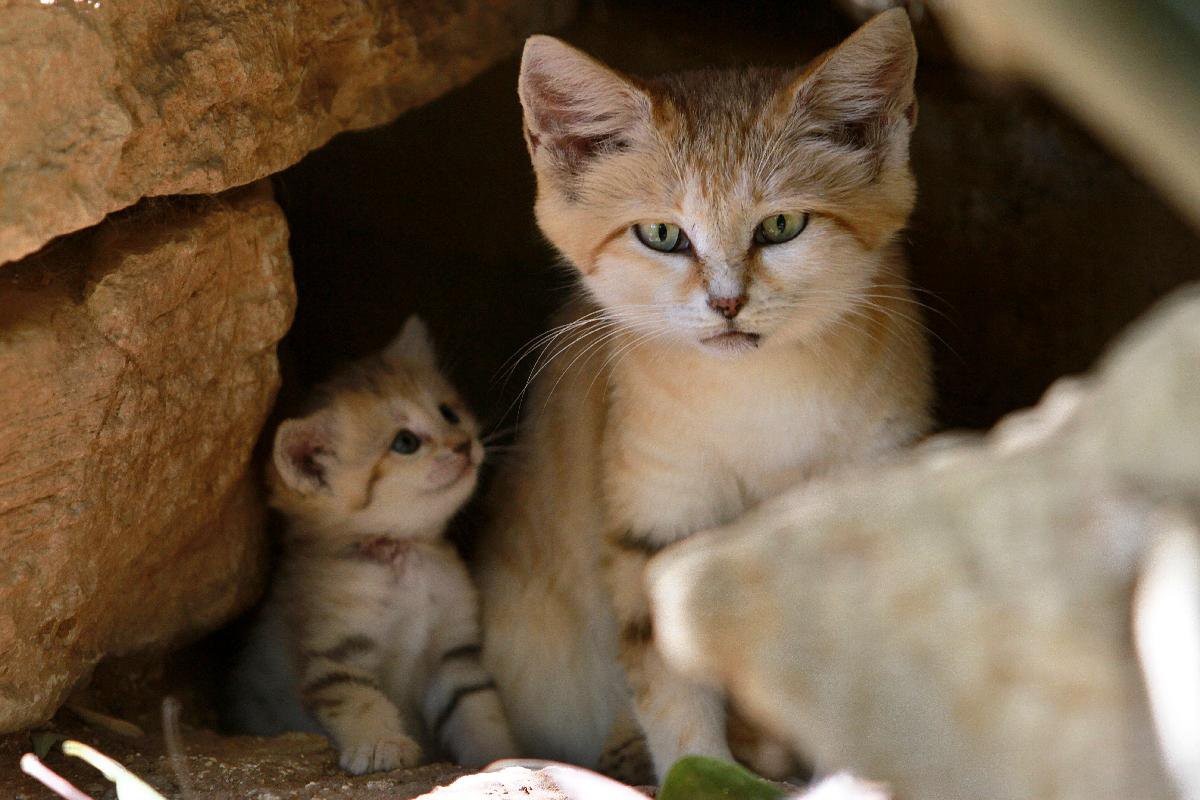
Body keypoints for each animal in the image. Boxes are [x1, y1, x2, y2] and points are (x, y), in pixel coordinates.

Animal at [230, 316, 516, 777]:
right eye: (405, 443)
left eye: (448, 412)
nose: (463, 445)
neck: (402, 556)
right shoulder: (336, 657)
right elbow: (362, 702)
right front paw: (382, 743)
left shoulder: (453, 658)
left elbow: (479, 711)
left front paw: (501, 755)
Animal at [477, 6, 936, 782]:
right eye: (663, 235)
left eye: (781, 225)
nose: (727, 303)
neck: (757, 400)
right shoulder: (656, 519)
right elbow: (671, 680)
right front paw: (703, 766)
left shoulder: (875, 484)